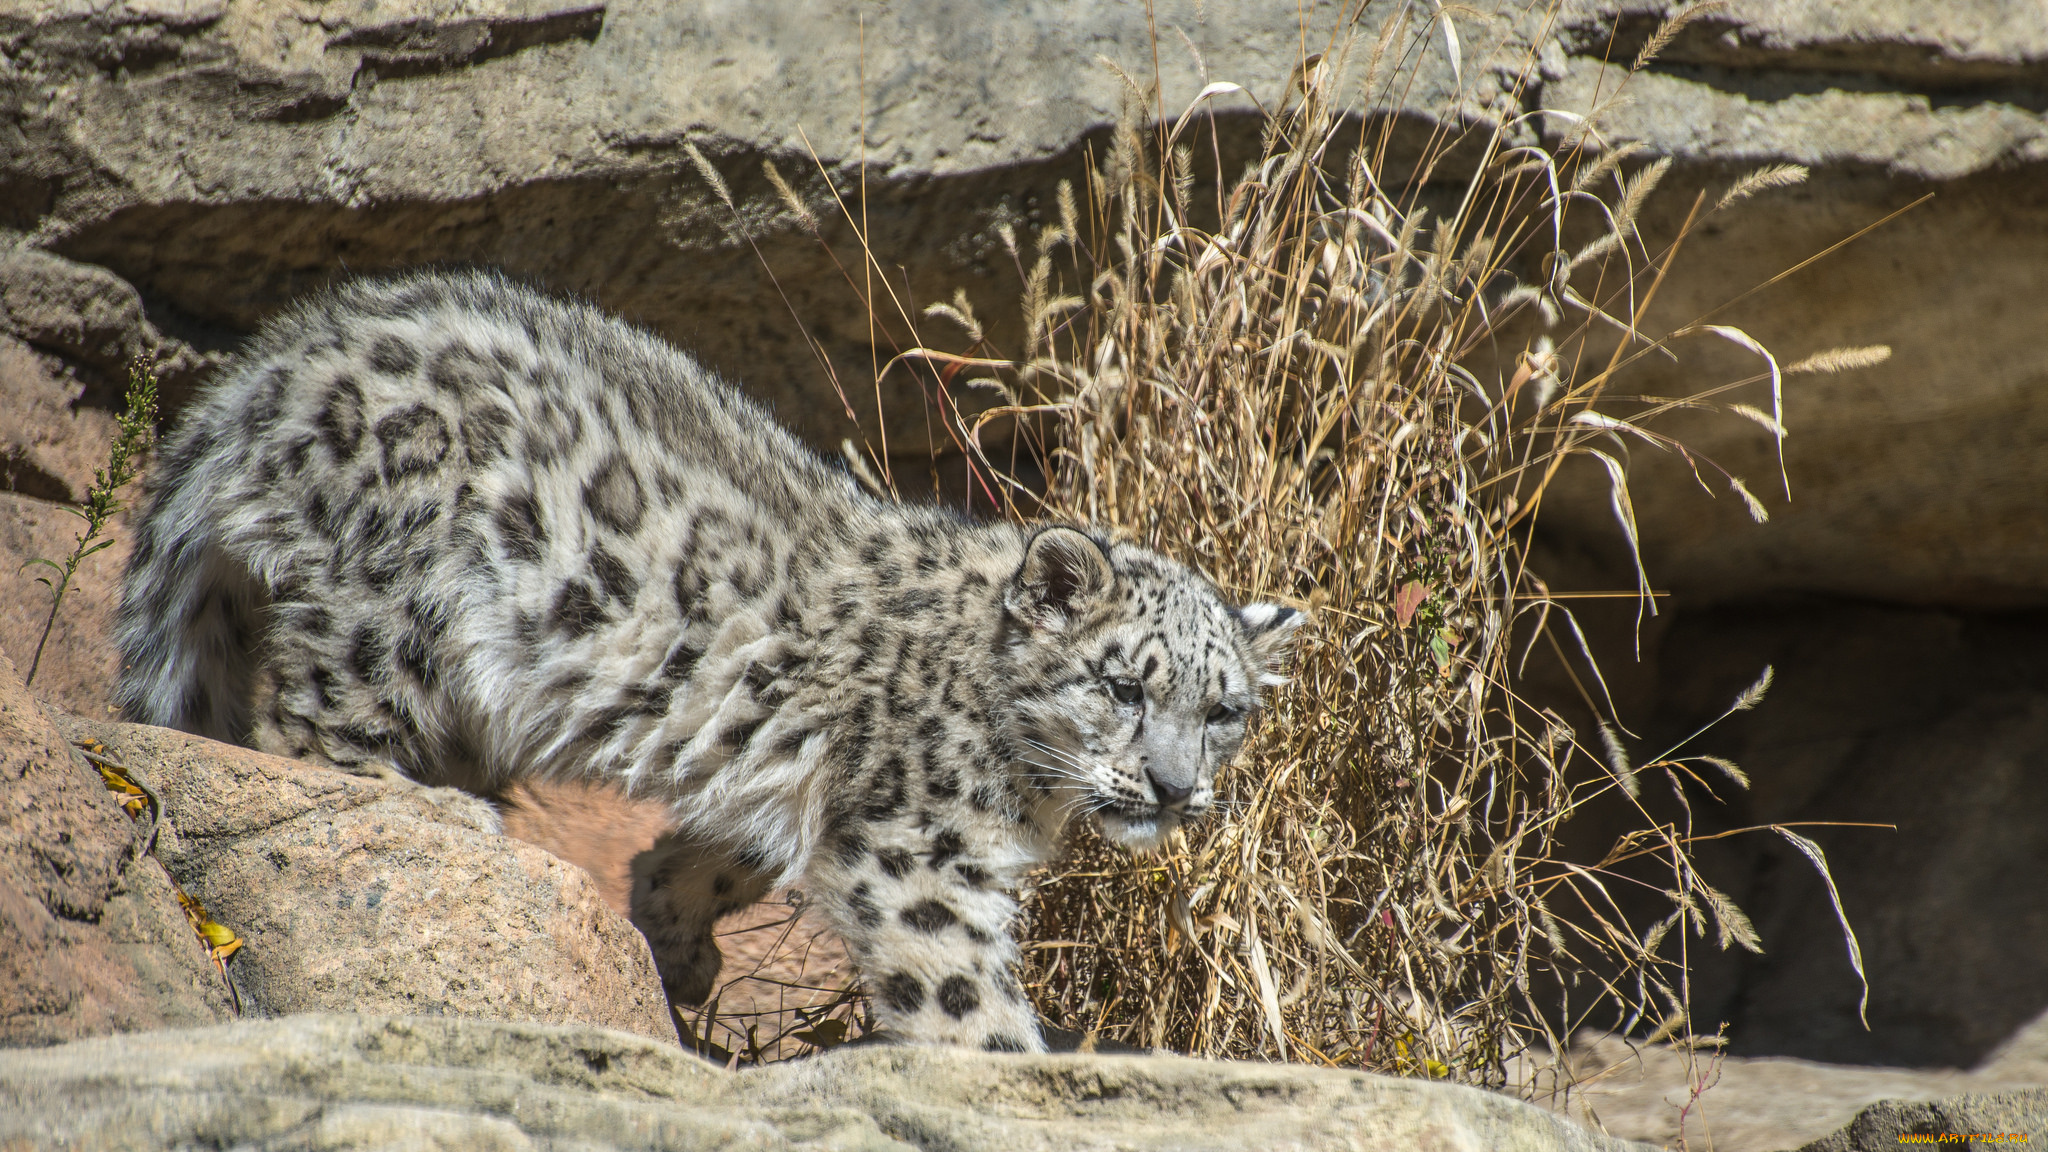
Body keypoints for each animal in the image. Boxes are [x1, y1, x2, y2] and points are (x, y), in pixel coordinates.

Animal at [113, 268, 1304, 1052]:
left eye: (1224, 712)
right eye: (1122, 686)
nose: (1174, 788)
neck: (1028, 793)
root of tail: (288, 349)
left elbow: (724, 849)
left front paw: (674, 938)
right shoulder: (919, 855)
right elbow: (962, 995)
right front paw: (1011, 1069)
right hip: (393, 608)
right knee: (305, 727)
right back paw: (431, 814)